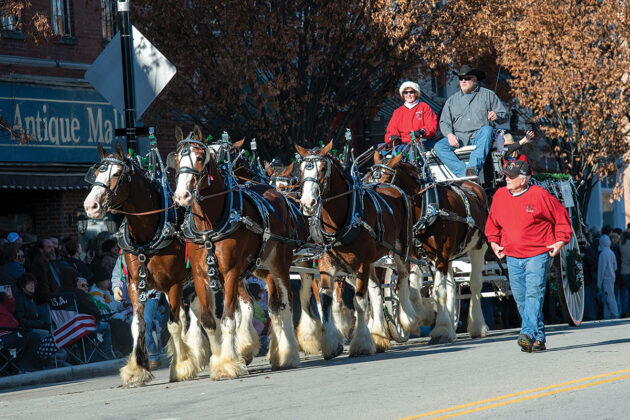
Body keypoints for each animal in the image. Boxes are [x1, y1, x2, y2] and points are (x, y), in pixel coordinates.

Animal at [83, 143, 205, 386]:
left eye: (117, 174)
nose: (90, 206)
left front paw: (182, 367)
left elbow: (173, 325)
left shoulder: (174, 283)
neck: (148, 233)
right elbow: (138, 325)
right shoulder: (135, 284)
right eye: (97, 171)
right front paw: (137, 369)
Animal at [172, 129, 302, 378]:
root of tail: (276, 193)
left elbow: (227, 320)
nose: (182, 196)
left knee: (287, 303)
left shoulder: (230, 273)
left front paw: (227, 364)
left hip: (279, 264)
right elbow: (209, 321)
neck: (209, 225)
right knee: (267, 304)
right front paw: (218, 359)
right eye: (175, 159)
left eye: (200, 158)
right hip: (257, 268)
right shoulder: (201, 275)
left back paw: (288, 354)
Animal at [298, 140, 420, 358]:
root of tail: (393, 187)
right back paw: (379, 335)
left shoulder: (362, 263)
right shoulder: (327, 263)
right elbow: (326, 298)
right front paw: (331, 343)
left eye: (323, 168)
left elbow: (360, 302)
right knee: (377, 292)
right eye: (302, 169)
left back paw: (408, 320)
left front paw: (362, 343)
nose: (307, 203)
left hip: (401, 248)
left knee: (404, 278)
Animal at [372, 154, 492, 342]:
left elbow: (438, 291)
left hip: (478, 248)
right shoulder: (416, 256)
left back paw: (477, 326)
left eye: (386, 180)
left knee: (475, 284)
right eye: (371, 178)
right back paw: (451, 324)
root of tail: (474, 186)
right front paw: (424, 316)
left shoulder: (441, 255)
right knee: (452, 286)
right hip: (450, 257)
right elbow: (415, 292)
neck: (428, 208)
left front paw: (440, 328)